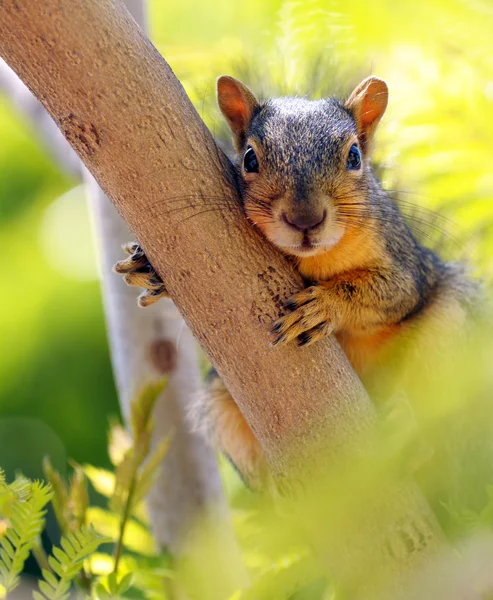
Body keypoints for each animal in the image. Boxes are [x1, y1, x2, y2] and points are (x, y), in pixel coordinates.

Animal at [113, 75, 474, 490]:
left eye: (354, 156)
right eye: (250, 159)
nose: (305, 219)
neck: (311, 258)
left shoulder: (405, 263)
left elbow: (390, 292)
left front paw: (323, 307)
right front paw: (148, 267)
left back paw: (408, 434)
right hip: (220, 409)